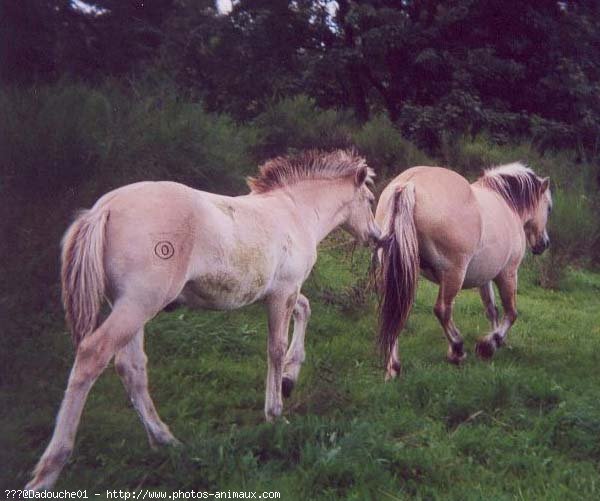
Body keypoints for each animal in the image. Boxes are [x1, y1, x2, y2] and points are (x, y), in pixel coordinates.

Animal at [376, 162, 552, 376]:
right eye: (549, 208)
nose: (544, 244)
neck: (508, 204)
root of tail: (409, 184)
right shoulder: (508, 274)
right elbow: (511, 313)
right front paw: (489, 345)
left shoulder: (485, 278)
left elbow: (491, 309)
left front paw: (496, 339)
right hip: (454, 275)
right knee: (442, 310)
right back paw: (457, 350)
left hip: (402, 273)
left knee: (398, 310)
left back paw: (393, 365)